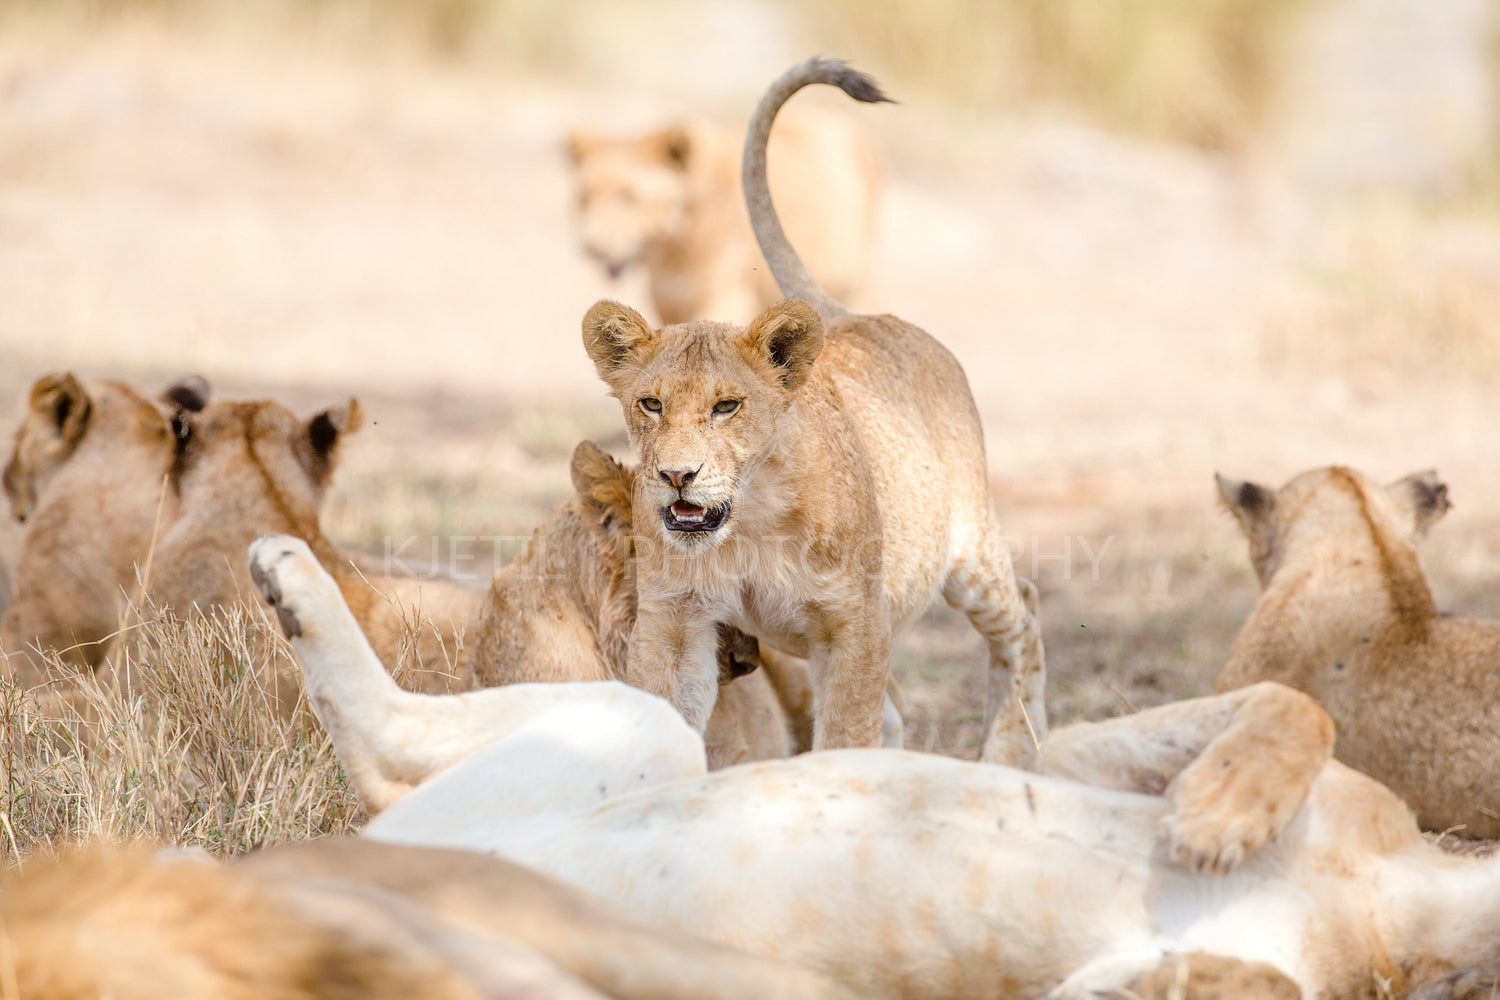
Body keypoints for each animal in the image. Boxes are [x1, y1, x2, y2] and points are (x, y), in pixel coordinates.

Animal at [249, 530, 1500, 1000]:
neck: (1400, 891)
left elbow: (1233, 981)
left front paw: (1196, 968)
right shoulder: (1085, 750)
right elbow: (1293, 704)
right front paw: (1219, 816)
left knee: (376, 760)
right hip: (636, 728)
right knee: (391, 722)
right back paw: (286, 570)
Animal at [582, 58, 1044, 761]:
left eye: (727, 406)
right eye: (650, 404)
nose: (676, 476)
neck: (749, 525)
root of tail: (854, 315)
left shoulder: (855, 624)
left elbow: (844, 737)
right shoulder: (676, 622)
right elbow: (666, 714)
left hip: (969, 553)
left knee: (1025, 611)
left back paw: (1015, 748)